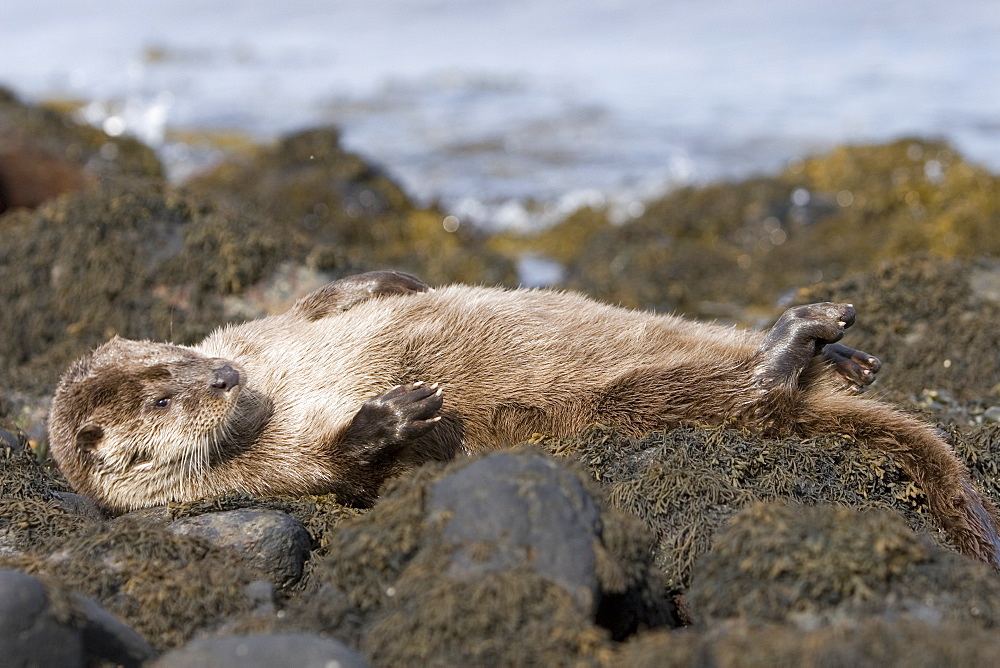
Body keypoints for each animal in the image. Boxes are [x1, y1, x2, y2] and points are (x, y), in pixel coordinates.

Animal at [48, 272, 1000, 568]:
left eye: (176, 357)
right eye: (165, 401)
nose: (223, 377)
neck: (272, 383)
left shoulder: (261, 326)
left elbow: (327, 298)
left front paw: (395, 282)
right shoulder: (266, 474)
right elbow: (341, 469)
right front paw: (393, 411)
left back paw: (842, 352)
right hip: (635, 400)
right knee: (747, 399)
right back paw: (796, 345)